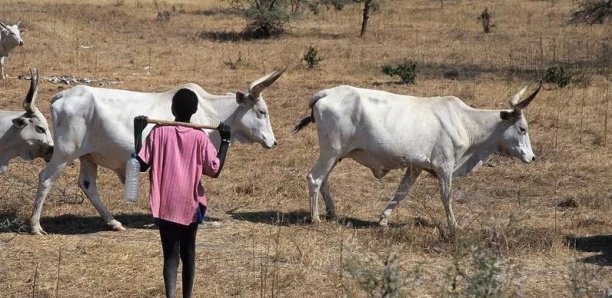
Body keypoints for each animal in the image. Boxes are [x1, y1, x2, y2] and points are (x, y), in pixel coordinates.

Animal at [30, 68, 284, 235]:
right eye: (261, 111)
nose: (273, 142)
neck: (211, 111)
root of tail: (62, 95)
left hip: (87, 156)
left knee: (88, 185)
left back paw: (113, 223)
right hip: (64, 154)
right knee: (45, 179)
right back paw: (35, 226)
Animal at [294, 82, 544, 229]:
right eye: (522, 129)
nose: (532, 157)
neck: (465, 121)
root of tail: (326, 93)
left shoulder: (415, 167)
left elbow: (401, 192)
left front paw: (383, 219)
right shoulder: (444, 166)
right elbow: (446, 197)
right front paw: (454, 225)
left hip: (335, 155)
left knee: (324, 180)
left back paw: (332, 213)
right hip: (331, 151)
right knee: (314, 178)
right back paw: (315, 218)